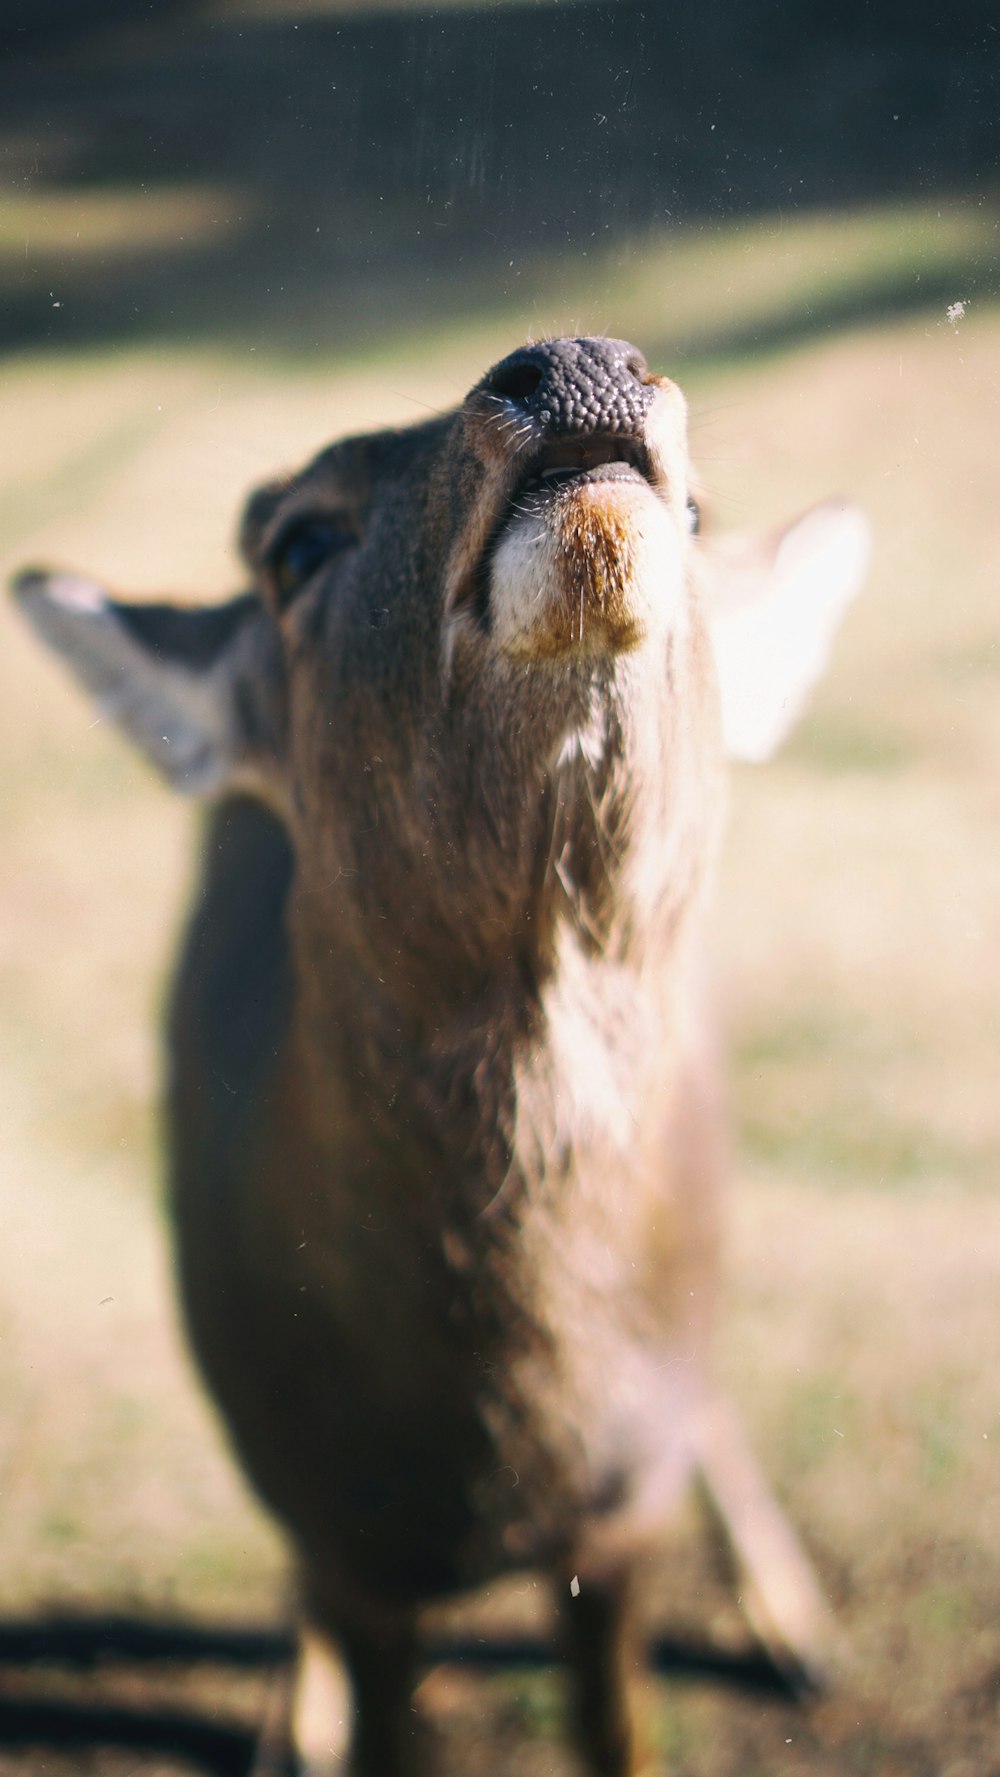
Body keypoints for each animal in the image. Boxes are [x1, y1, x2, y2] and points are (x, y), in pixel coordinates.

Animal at [13, 335, 870, 1777]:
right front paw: (316, 1715)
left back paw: (797, 1632)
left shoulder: (617, 1518)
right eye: (296, 542)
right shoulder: (339, 1522)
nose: (577, 362)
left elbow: (617, 1727)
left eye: (701, 516)